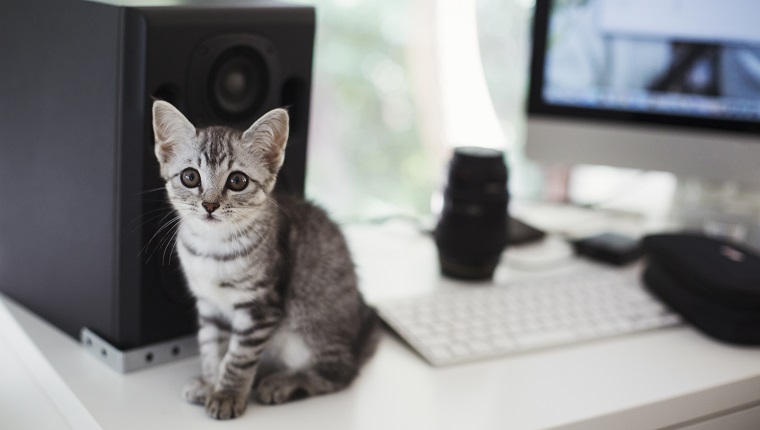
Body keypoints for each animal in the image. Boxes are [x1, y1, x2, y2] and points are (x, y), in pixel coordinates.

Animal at [152, 101, 380, 420]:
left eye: (237, 181)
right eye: (190, 177)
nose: (209, 205)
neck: (213, 248)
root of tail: (355, 342)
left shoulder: (261, 306)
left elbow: (239, 357)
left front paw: (227, 395)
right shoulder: (209, 304)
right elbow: (211, 347)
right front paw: (210, 383)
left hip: (310, 325)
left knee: (339, 373)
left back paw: (283, 382)